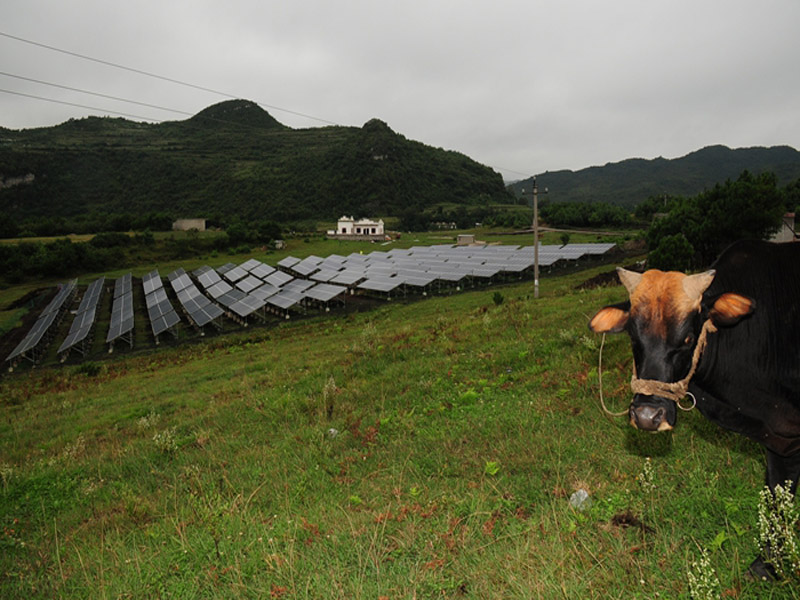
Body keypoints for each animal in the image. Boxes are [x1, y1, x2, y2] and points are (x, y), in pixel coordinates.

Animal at [588, 238, 800, 576]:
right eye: (633, 337)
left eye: (687, 338)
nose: (647, 416)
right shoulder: (780, 440)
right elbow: (777, 497)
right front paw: (768, 564)